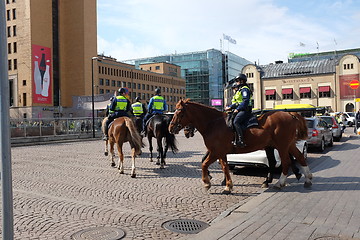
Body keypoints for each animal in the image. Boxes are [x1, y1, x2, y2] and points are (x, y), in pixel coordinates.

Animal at [169, 98, 312, 194]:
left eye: (179, 112)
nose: (171, 128)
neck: (213, 123)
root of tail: (290, 114)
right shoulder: (221, 153)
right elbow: (225, 167)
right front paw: (227, 186)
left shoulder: (216, 152)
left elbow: (204, 164)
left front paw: (207, 183)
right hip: (288, 145)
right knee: (300, 157)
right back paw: (307, 179)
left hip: (282, 146)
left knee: (286, 162)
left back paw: (280, 182)